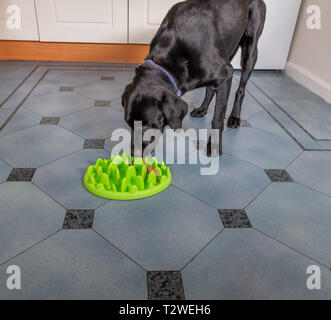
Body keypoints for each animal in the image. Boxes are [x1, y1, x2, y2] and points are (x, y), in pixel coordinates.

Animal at [122, 0, 268, 156]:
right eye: (129, 123)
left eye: (149, 125)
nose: (134, 153)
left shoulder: (226, 75)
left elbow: (217, 118)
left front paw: (214, 145)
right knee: (210, 88)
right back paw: (202, 109)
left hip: (250, 50)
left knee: (240, 89)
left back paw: (234, 117)